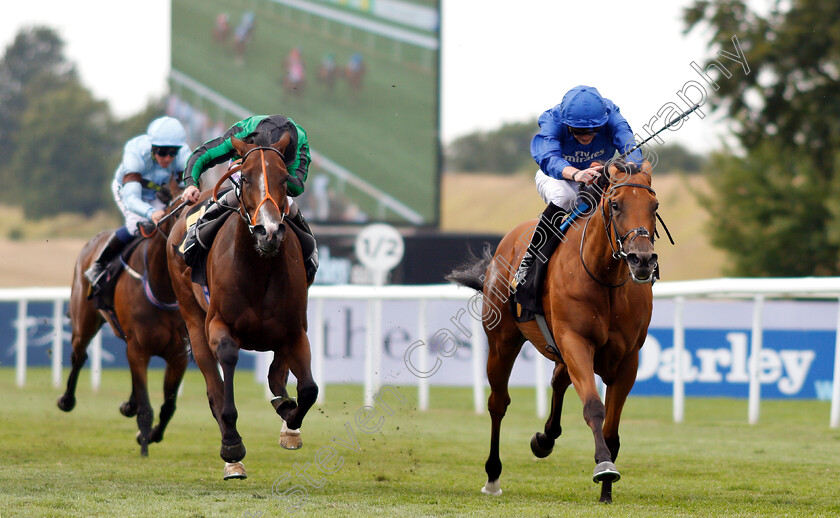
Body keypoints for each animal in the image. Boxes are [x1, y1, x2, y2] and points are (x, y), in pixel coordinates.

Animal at [58, 175, 189, 460]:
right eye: (179, 213)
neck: (162, 287)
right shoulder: (139, 347)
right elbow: (147, 409)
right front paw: (143, 449)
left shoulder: (179, 354)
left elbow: (168, 406)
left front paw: (148, 435)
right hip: (84, 320)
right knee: (79, 355)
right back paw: (66, 400)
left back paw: (129, 404)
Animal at [167, 132, 318, 482]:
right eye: (246, 177)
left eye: (284, 178)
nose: (269, 231)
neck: (258, 268)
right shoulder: (218, 324)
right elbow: (228, 365)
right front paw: (232, 447)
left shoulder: (295, 331)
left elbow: (308, 389)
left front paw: (290, 420)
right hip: (192, 317)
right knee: (214, 386)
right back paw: (231, 454)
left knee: (278, 375)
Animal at [450, 161, 660, 504]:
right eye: (616, 205)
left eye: (654, 206)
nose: (641, 260)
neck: (604, 279)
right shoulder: (576, 341)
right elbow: (593, 407)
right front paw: (604, 467)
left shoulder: (627, 359)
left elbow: (611, 429)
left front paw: (606, 492)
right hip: (502, 342)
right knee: (498, 403)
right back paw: (493, 477)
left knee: (558, 379)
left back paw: (545, 438)